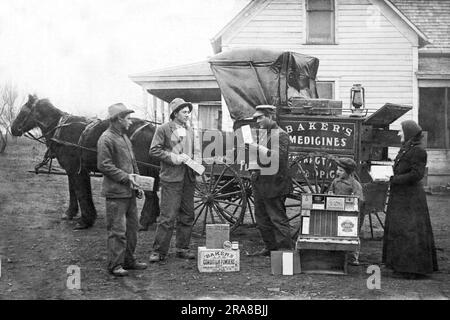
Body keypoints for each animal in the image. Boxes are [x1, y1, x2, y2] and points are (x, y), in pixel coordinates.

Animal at [10, 95, 162, 230]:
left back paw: (143, 222)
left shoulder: (75, 170)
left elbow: (80, 192)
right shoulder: (74, 170)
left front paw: (85, 221)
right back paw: (151, 219)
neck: (59, 128)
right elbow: (73, 190)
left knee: (150, 195)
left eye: (23, 111)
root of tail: (152, 129)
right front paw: (70, 213)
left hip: (143, 170)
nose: (13, 128)